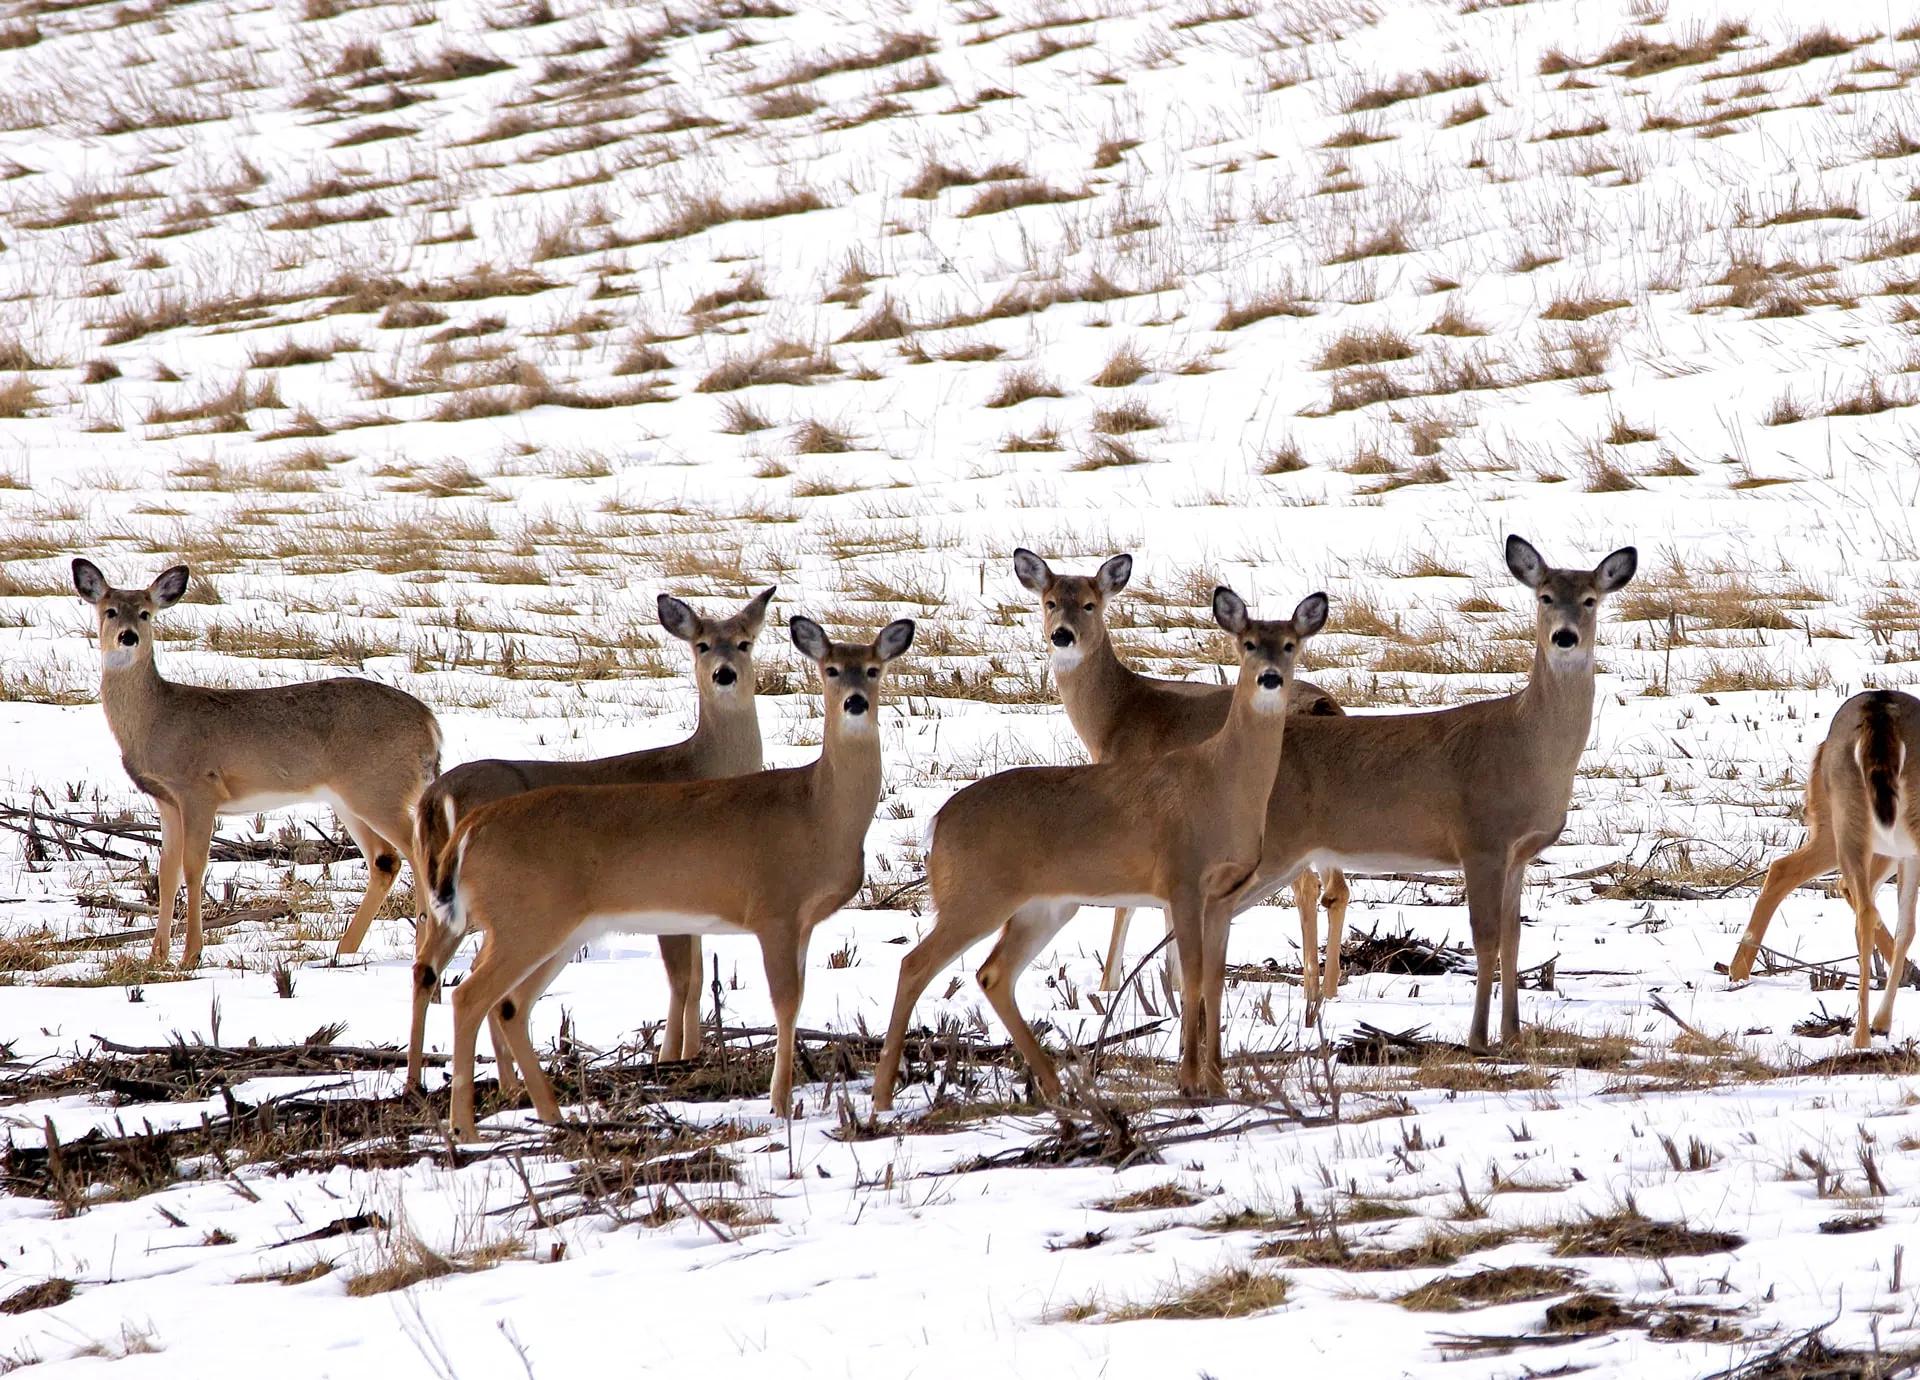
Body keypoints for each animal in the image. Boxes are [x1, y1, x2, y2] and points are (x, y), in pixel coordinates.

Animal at [71, 556, 441, 967]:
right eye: (110, 611)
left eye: (146, 613)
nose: (128, 637)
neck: (156, 717)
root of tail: (429, 721)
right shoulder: (165, 799)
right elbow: (166, 872)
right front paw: (156, 957)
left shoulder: (199, 787)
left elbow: (194, 867)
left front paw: (191, 955)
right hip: (350, 797)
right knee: (385, 859)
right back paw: (343, 951)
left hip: (380, 788)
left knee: (418, 853)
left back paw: (421, 945)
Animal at [432, 614, 910, 1143]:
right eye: (830, 670)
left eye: (873, 669)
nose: (855, 702)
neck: (818, 810)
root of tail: (472, 828)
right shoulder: (773, 909)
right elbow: (785, 1003)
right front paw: (780, 1103)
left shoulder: (802, 922)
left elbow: (796, 999)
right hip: (525, 918)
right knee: (470, 996)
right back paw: (466, 1129)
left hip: (555, 928)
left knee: (511, 1004)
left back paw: (553, 1116)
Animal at [879, 587, 1328, 1105]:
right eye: (1249, 643)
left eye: (1291, 644)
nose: (1270, 677)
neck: (1220, 781)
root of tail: (938, 822)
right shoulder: (1181, 880)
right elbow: (1192, 977)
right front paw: (1190, 1080)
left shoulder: (1223, 892)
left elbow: (1215, 980)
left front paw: (1217, 1082)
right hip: (976, 895)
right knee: (913, 964)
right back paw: (883, 1094)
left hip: (1045, 907)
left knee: (992, 974)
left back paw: (1055, 1087)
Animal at [1021, 545, 1351, 1005]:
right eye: (1050, 602)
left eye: (1089, 604)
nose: (1062, 636)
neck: (1117, 717)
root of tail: (1325, 706)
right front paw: (1174, 982)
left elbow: (1128, 899)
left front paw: (1109, 985)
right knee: (1336, 888)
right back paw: (1330, 991)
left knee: (1306, 887)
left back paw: (1311, 991)